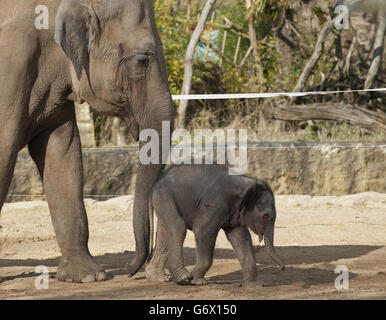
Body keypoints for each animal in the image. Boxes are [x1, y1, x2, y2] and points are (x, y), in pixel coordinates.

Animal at [0, 0, 173, 280]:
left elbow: (63, 153)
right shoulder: (10, 67)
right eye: (142, 60)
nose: (132, 270)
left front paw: (88, 276)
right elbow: (4, 153)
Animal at [146, 165, 284, 284]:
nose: (282, 268)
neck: (248, 183)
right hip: (165, 196)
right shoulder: (216, 204)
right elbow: (202, 230)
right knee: (178, 227)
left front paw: (256, 285)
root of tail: (159, 180)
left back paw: (159, 278)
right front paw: (197, 281)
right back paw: (183, 278)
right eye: (265, 215)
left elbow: (241, 238)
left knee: (165, 232)